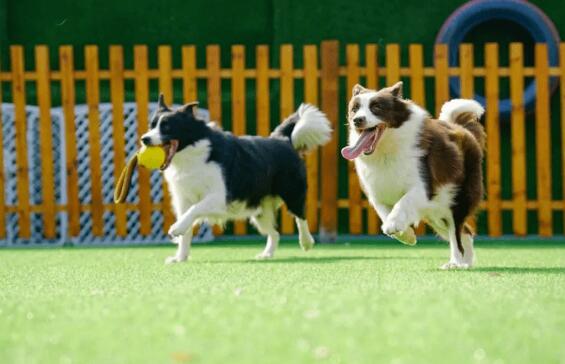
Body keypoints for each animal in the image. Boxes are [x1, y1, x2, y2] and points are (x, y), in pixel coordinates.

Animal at [141, 95, 332, 264]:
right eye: (151, 126)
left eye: (167, 127)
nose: (145, 139)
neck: (191, 153)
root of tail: (284, 139)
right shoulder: (183, 200)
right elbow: (186, 227)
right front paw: (180, 257)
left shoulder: (219, 196)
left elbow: (195, 210)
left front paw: (176, 229)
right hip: (260, 209)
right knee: (275, 233)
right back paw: (267, 254)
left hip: (292, 193)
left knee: (301, 216)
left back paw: (306, 242)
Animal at [342, 82, 486, 268]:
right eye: (355, 109)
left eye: (376, 108)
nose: (357, 120)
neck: (386, 151)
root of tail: (462, 129)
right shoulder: (377, 193)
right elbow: (384, 213)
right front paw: (406, 235)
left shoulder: (423, 187)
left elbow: (403, 202)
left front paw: (393, 225)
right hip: (437, 214)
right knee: (465, 231)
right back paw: (464, 263)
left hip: (457, 199)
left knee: (456, 232)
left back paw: (456, 263)